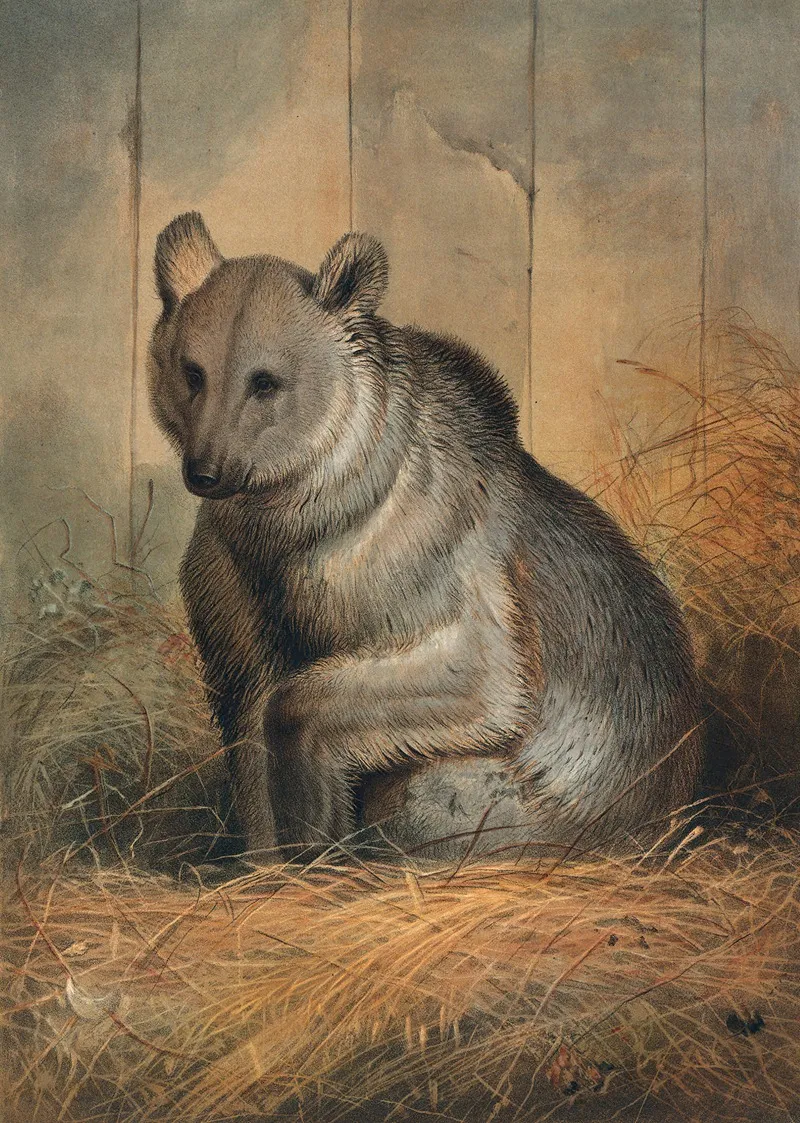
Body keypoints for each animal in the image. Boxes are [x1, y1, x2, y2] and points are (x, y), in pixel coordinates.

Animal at [148, 211, 702, 863]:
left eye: (265, 381)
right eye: (194, 371)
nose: (206, 471)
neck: (296, 516)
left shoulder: (417, 559)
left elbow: (476, 677)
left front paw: (317, 838)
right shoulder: (236, 580)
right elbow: (248, 711)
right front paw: (263, 859)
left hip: (526, 804)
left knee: (421, 799)